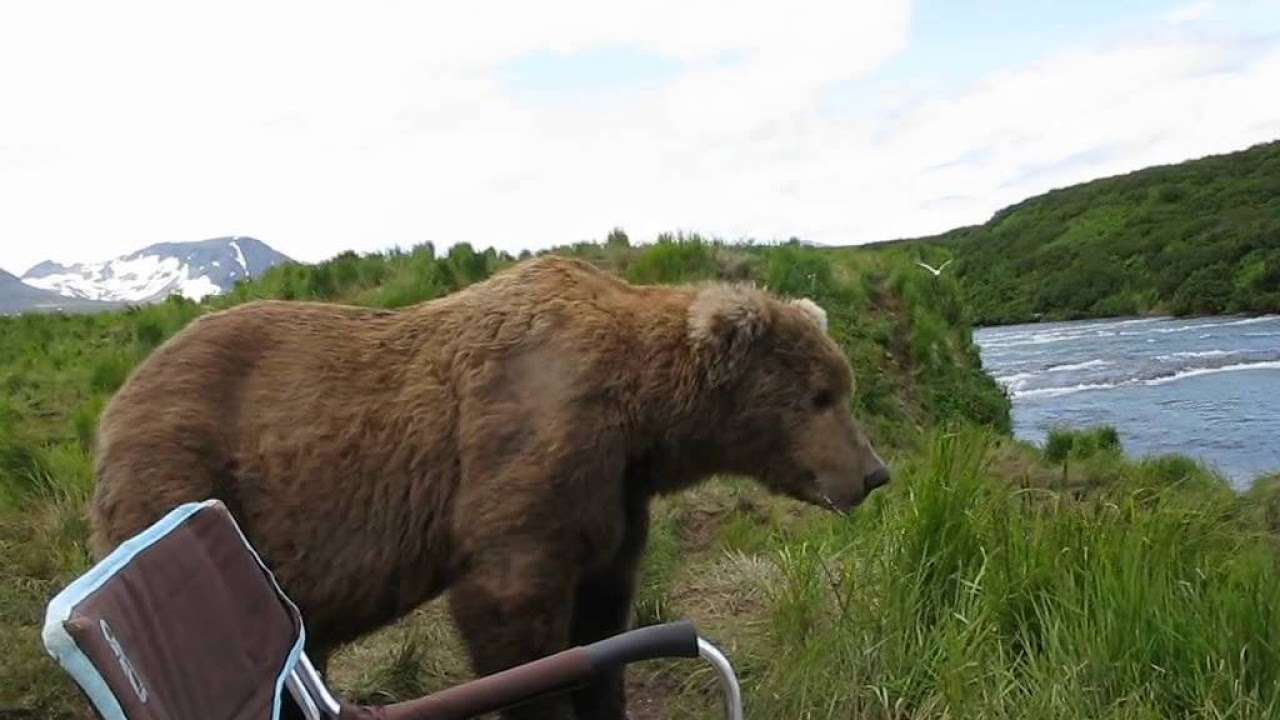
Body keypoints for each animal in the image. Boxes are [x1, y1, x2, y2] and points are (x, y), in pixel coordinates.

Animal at [87, 252, 890, 717]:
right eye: (820, 395)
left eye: (841, 387)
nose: (874, 473)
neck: (642, 416)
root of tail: (117, 400)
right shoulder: (528, 444)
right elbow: (513, 610)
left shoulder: (613, 496)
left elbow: (603, 615)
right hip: (184, 471)